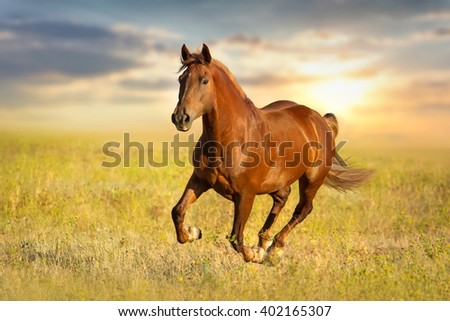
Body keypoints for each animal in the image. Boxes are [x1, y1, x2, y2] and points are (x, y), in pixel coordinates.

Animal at [171, 43, 370, 262]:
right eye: (181, 79)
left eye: (204, 80)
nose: (180, 118)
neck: (233, 137)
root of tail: (320, 119)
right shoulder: (200, 180)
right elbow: (177, 211)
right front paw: (193, 232)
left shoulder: (245, 195)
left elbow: (236, 237)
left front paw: (255, 254)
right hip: (277, 181)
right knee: (282, 197)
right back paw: (264, 241)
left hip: (311, 180)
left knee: (303, 209)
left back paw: (274, 247)